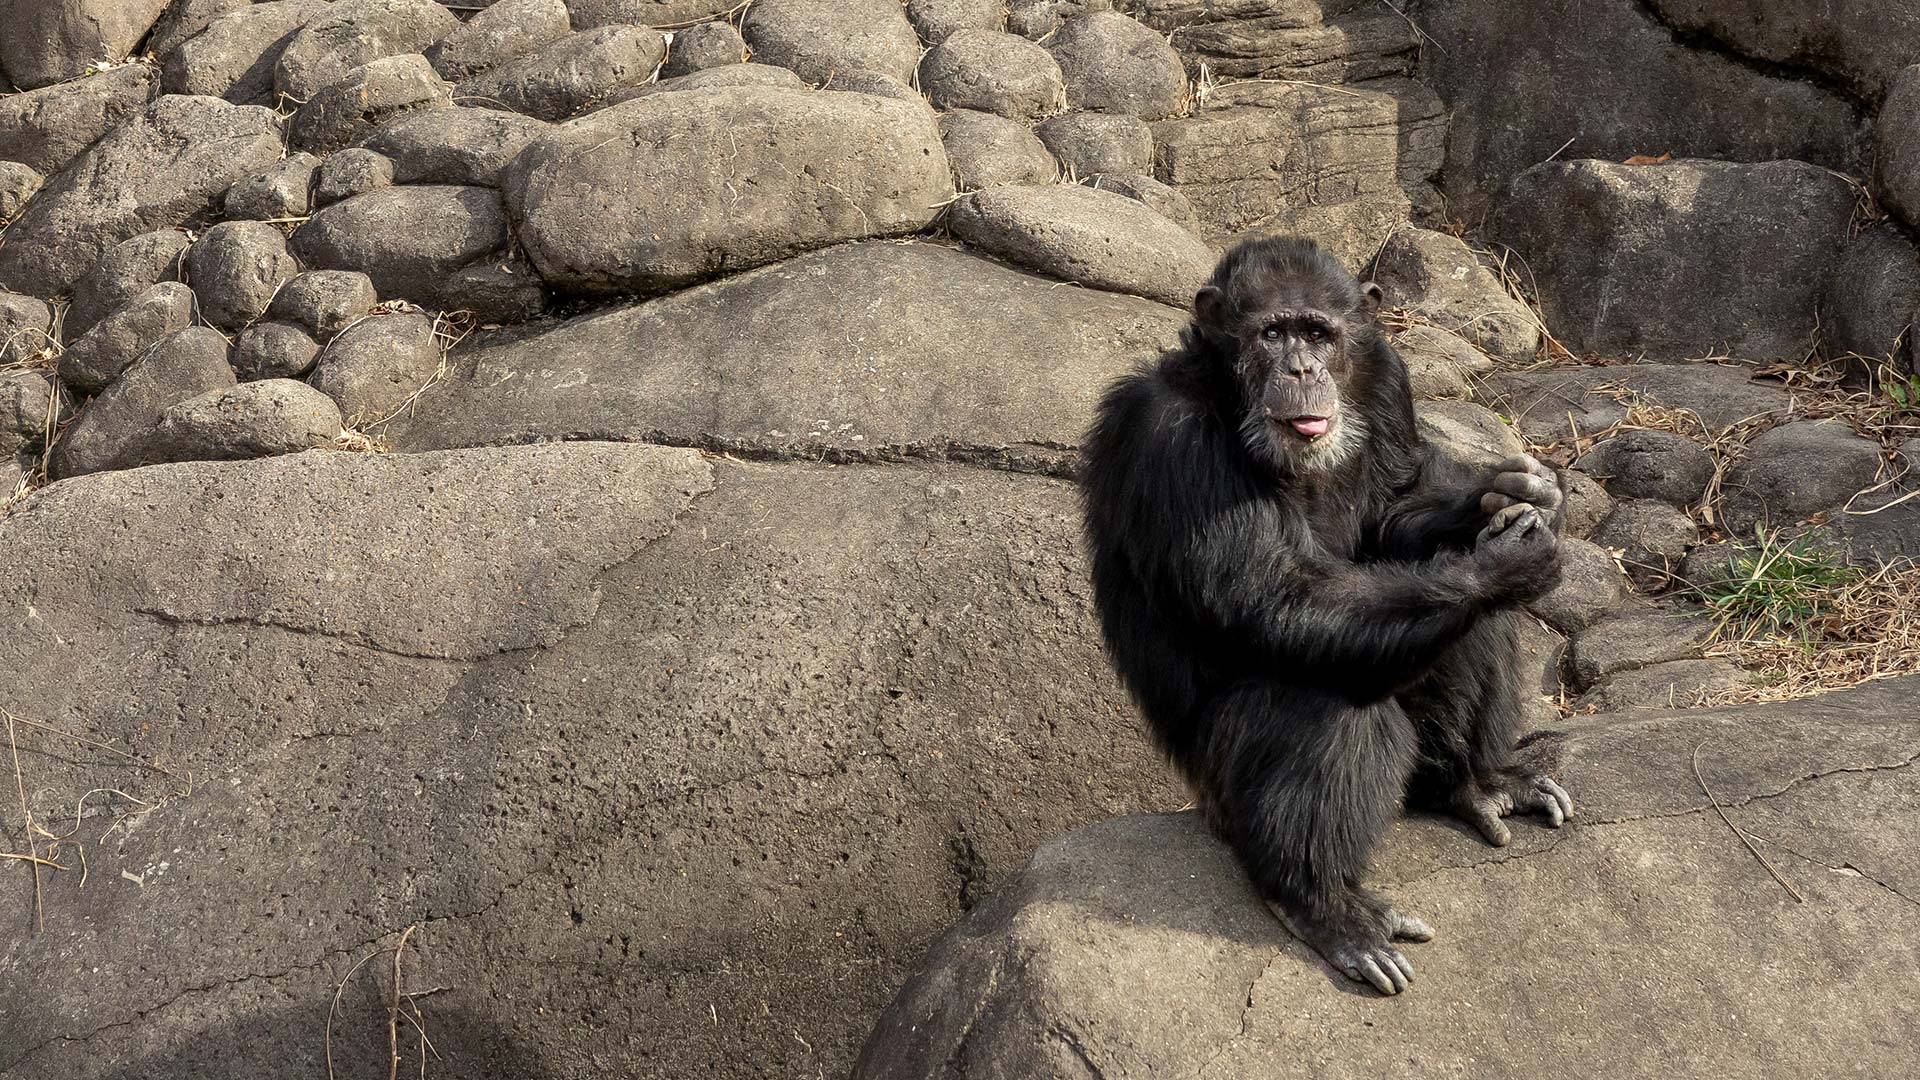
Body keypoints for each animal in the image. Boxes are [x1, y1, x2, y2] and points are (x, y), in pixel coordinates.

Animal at [1078, 235, 1572, 995]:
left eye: (1319, 334)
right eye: (1271, 334)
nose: (1302, 368)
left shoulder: (1388, 376)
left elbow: (1394, 508)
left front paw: (1505, 492)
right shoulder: (1172, 437)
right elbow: (1276, 597)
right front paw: (1502, 565)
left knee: (1466, 627)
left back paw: (1475, 784)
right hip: (1217, 794)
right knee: (1321, 701)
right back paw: (1324, 907)